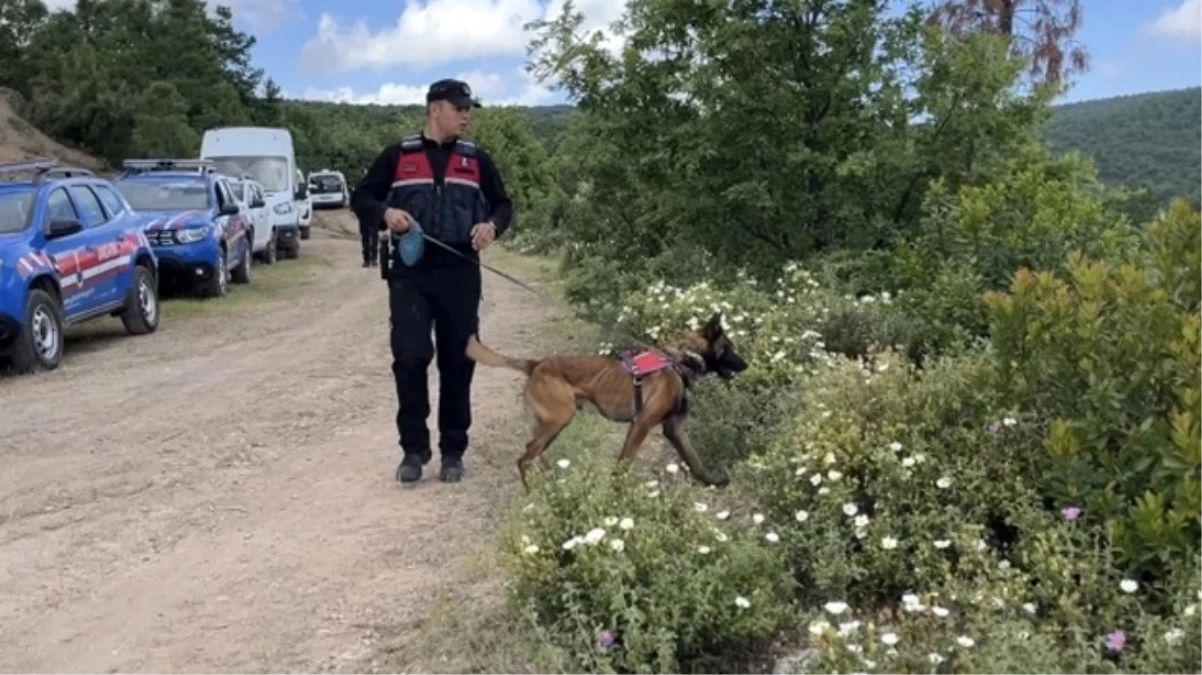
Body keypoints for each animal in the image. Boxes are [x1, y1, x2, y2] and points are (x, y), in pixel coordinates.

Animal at [463, 309, 745, 487]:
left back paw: (553, 485)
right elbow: (624, 463)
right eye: (729, 348)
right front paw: (617, 494)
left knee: (535, 453)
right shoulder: (641, 424)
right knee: (525, 457)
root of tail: (537, 364)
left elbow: (694, 460)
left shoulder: (674, 428)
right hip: (560, 417)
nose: (747, 365)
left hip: (549, 423)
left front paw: (713, 483)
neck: (679, 361)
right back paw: (534, 492)